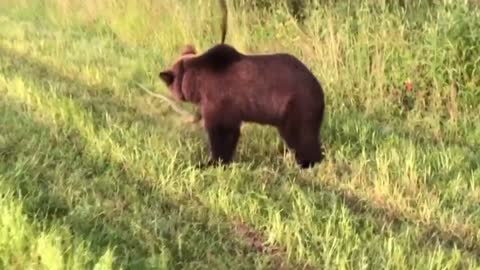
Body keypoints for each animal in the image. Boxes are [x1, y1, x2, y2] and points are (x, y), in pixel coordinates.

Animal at [159, 43, 324, 168]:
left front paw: (212, 162)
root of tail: (318, 87)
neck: (196, 83)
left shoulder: (220, 99)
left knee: (301, 135)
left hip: (296, 104)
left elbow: (223, 132)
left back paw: (307, 162)